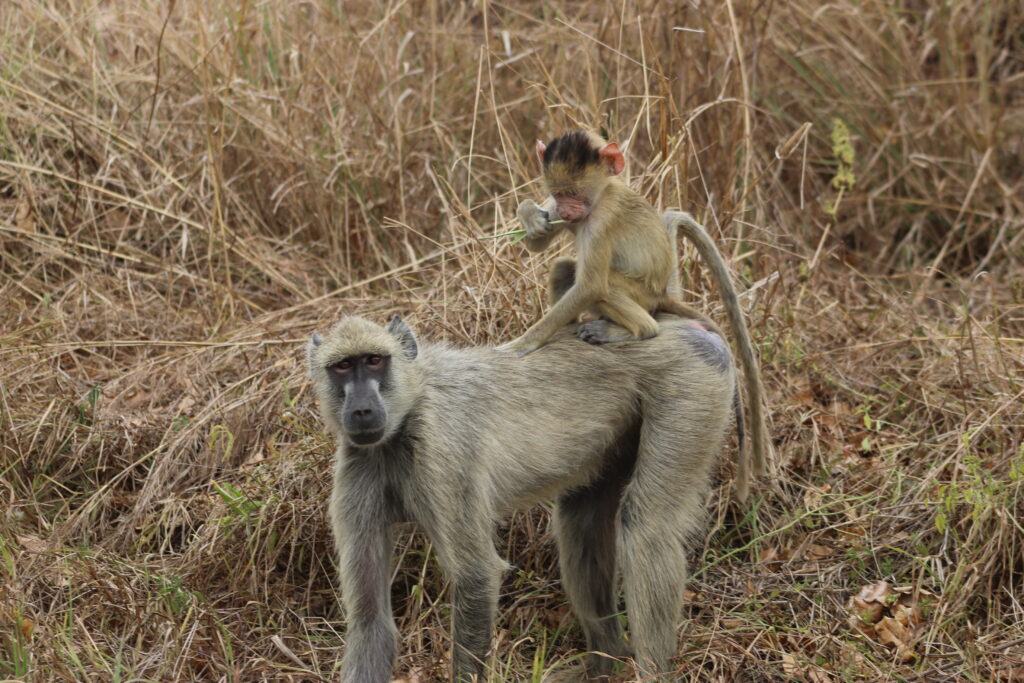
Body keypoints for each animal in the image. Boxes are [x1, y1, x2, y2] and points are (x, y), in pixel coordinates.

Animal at [308, 314, 739, 682]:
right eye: (342, 367)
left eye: (374, 362)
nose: (361, 410)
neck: (406, 415)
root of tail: (683, 327)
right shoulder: (360, 464)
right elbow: (370, 620)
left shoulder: (442, 449)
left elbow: (476, 575)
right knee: (581, 524)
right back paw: (608, 664)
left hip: (689, 389)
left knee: (646, 528)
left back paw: (651, 671)